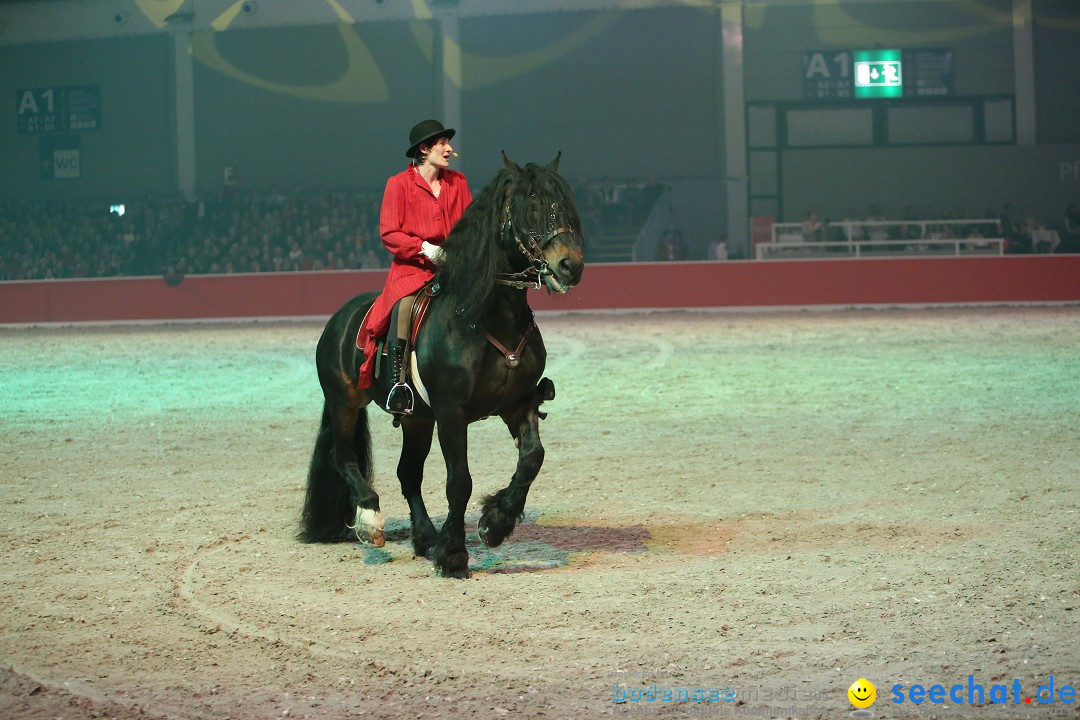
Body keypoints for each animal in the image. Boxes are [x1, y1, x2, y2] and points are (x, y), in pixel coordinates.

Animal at [298, 153, 583, 578]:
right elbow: (459, 481)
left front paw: (494, 523)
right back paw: (370, 520)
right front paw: (454, 555)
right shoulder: (451, 412)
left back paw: (425, 537)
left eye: (565, 205)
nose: (570, 266)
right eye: (531, 206)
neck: (486, 316)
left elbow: (532, 458)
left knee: (408, 473)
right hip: (345, 402)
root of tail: (340, 318)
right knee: (344, 458)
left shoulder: (517, 404)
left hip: (417, 419)